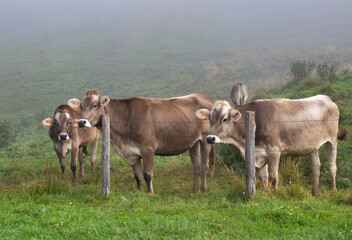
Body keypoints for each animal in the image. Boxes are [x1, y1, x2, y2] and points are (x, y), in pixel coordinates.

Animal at [66, 90, 214, 193]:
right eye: (81, 106)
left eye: (95, 105)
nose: (81, 122)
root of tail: (205, 96)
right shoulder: (132, 152)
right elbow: (137, 175)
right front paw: (140, 192)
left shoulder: (148, 149)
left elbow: (147, 174)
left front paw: (150, 193)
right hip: (193, 142)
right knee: (196, 166)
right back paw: (194, 189)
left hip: (205, 140)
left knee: (204, 166)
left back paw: (203, 189)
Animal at [195, 94, 346, 196]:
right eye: (210, 119)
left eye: (225, 119)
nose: (210, 138)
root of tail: (327, 99)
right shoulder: (259, 153)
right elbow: (263, 177)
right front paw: (266, 192)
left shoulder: (274, 150)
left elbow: (273, 175)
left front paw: (275, 193)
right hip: (312, 146)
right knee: (316, 167)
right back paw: (315, 192)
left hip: (332, 141)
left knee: (332, 166)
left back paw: (333, 190)